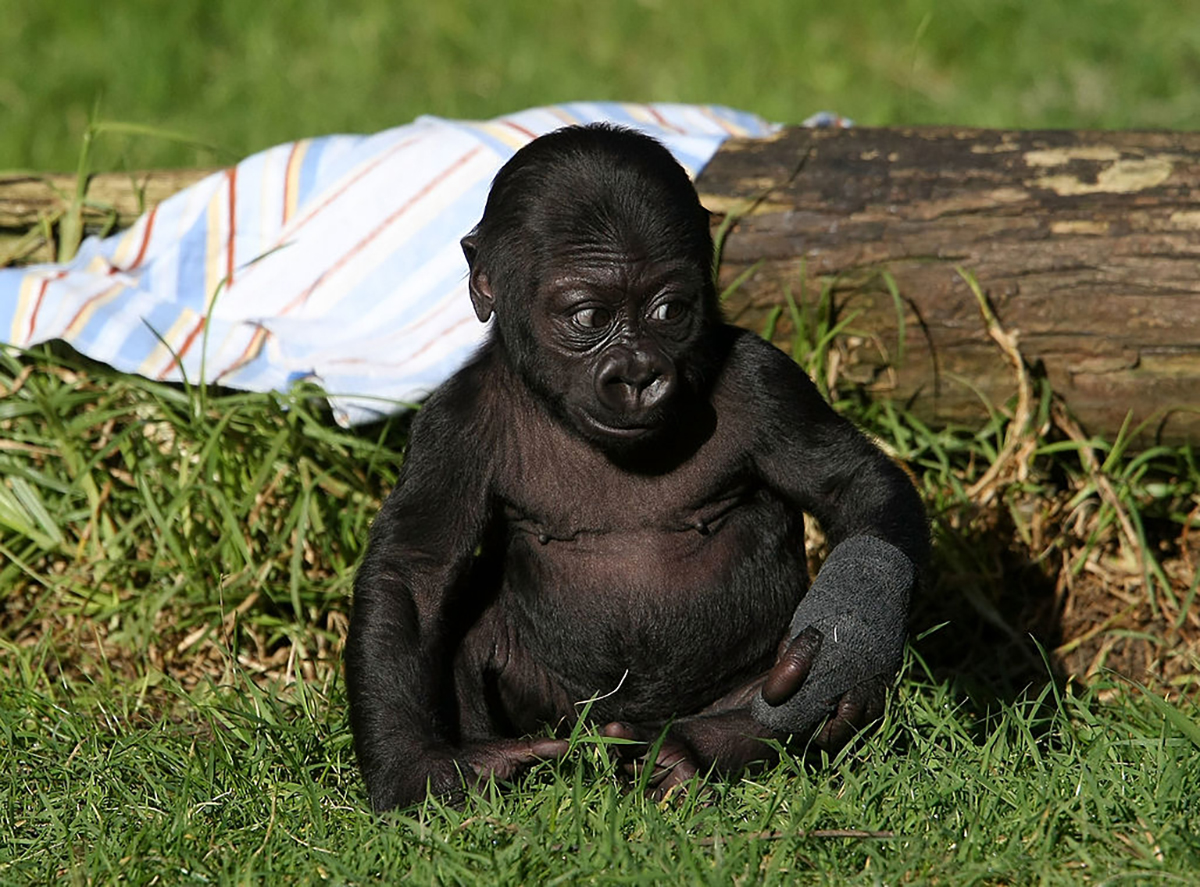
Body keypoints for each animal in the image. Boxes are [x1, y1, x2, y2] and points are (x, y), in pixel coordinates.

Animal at [348, 123, 926, 811]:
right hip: (563, 714)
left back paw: (707, 743)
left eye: (669, 311)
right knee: (467, 643)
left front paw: (846, 642)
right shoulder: (451, 424)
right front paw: (416, 766)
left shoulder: (764, 379)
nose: (637, 375)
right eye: (590, 317)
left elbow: (858, 489)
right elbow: (415, 575)